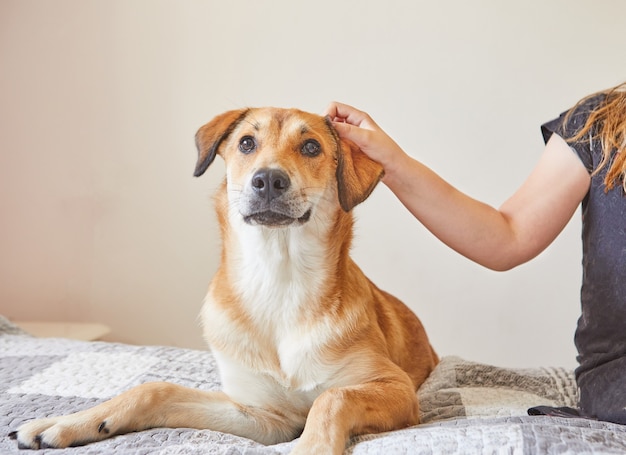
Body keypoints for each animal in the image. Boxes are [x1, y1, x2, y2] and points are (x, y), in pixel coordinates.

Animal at [11, 108, 438, 455]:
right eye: (246, 143)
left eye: (311, 147)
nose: (268, 180)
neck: (278, 280)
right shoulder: (264, 416)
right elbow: (156, 388)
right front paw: (65, 423)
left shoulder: (396, 387)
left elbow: (332, 398)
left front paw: (311, 446)